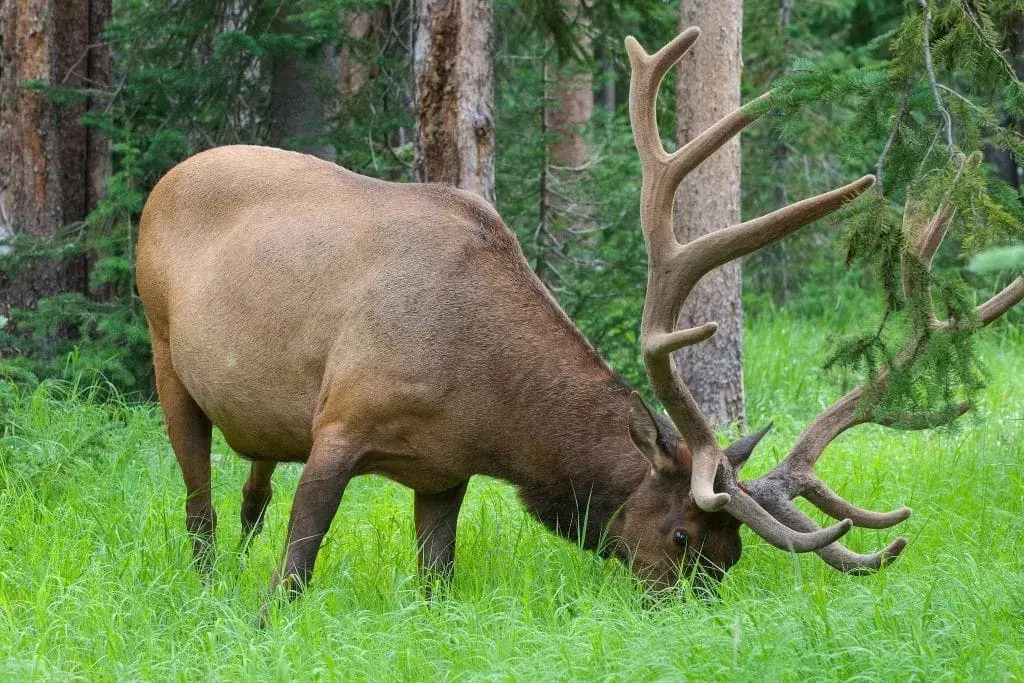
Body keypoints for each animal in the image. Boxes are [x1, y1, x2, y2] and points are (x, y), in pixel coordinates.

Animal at [136, 27, 1024, 603]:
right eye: (682, 536)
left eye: (733, 556)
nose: (688, 612)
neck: (487, 406)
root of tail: (163, 180)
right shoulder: (341, 422)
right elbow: (295, 571)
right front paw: (263, 621)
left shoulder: (443, 471)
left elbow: (436, 581)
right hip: (166, 354)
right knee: (199, 506)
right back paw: (206, 588)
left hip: (260, 419)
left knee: (249, 495)